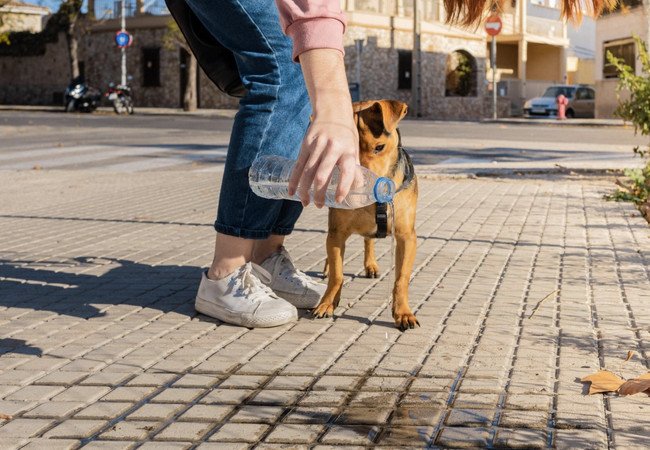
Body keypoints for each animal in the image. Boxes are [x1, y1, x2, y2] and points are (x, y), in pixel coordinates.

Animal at [312, 99, 418, 330]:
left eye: (379, 147)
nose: (359, 184)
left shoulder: (406, 236)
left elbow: (401, 279)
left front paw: (403, 313)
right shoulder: (337, 233)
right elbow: (337, 274)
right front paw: (327, 303)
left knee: (369, 240)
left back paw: (371, 265)